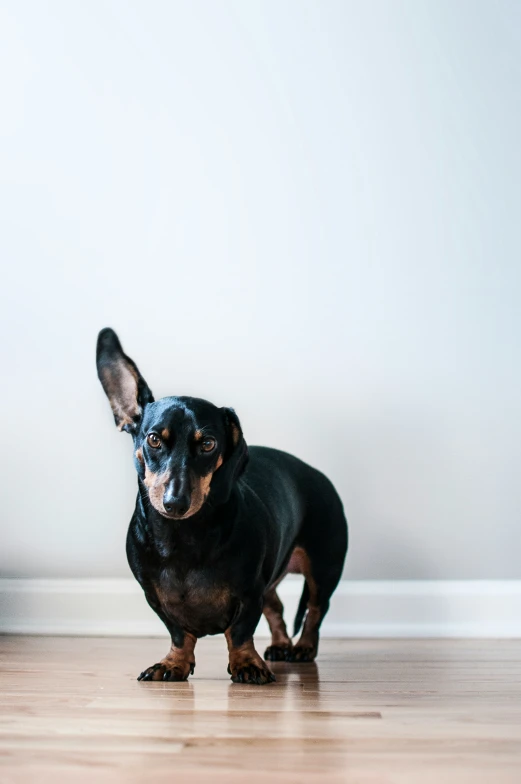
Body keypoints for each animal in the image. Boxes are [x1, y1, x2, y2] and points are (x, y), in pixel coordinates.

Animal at [96, 328, 350, 684]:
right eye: (154, 439)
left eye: (208, 443)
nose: (175, 502)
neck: (182, 537)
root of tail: (315, 473)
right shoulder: (156, 598)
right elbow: (179, 633)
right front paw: (174, 663)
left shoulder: (249, 592)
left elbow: (240, 631)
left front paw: (246, 663)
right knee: (277, 608)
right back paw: (281, 645)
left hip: (323, 567)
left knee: (314, 610)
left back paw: (302, 648)